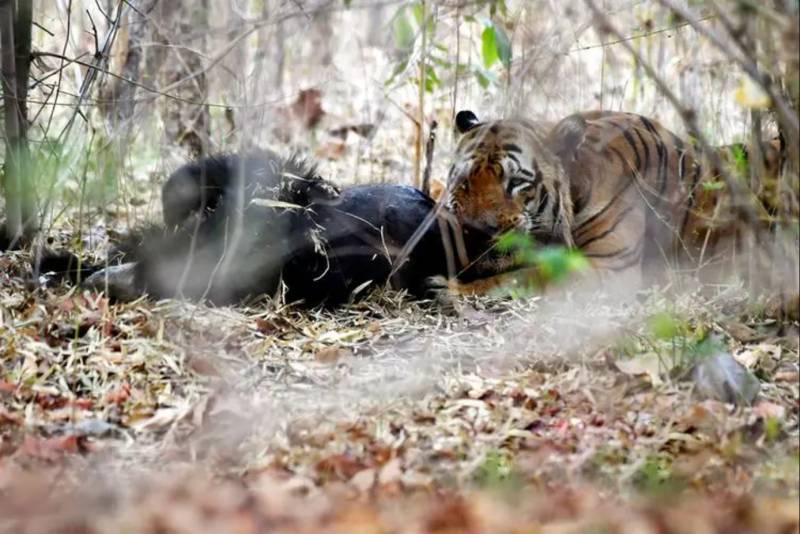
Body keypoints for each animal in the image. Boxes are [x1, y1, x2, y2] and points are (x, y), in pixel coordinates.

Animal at [440, 108, 792, 298]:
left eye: (515, 183)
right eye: (464, 180)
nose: (475, 231)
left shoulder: (607, 268)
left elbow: (529, 275)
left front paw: (450, 290)